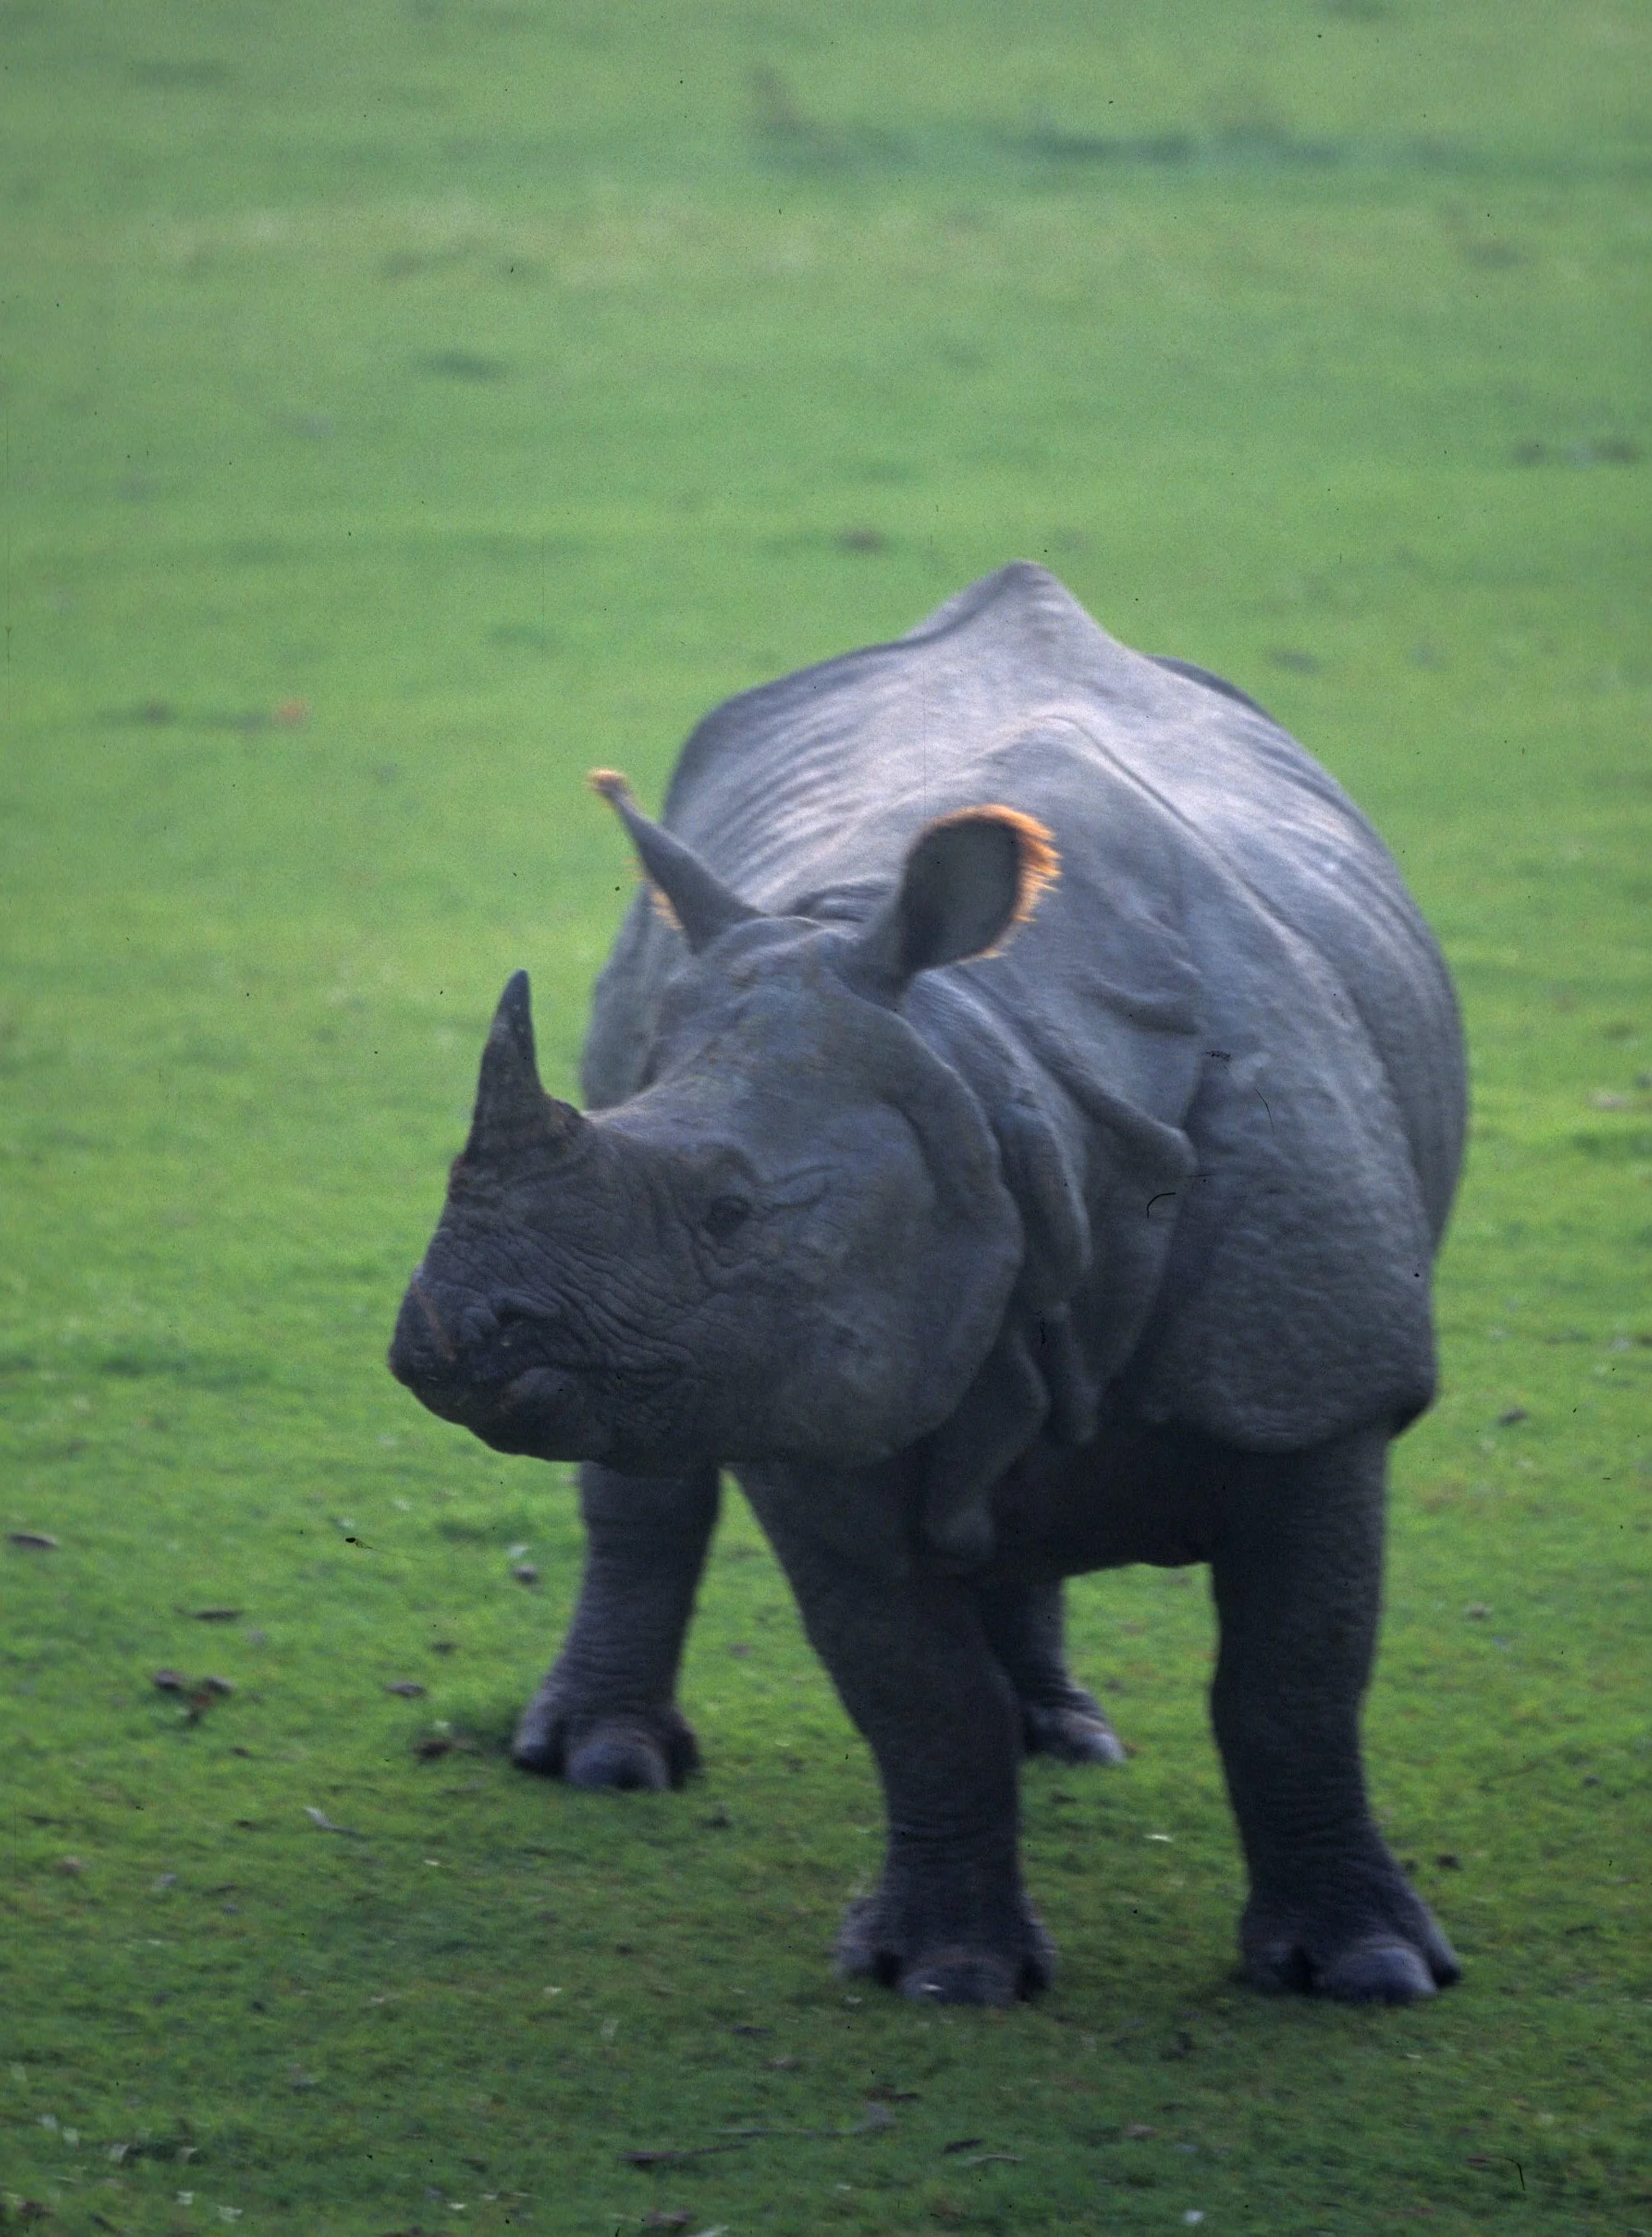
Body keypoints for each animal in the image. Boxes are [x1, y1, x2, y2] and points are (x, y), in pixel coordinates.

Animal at [390, 563, 1466, 2008]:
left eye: (731, 1212)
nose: (441, 1342)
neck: (999, 1064)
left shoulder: (1312, 1385)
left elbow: (1293, 1680)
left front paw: (1366, 1970)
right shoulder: (783, 1381)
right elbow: (910, 1690)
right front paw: (945, 1973)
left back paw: (1060, 1735)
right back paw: (600, 1764)